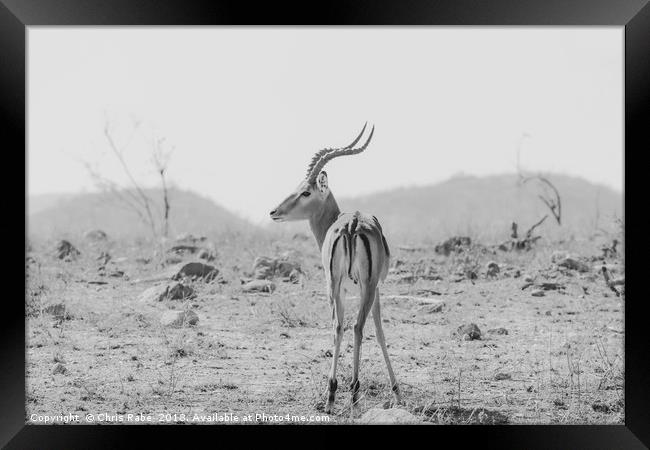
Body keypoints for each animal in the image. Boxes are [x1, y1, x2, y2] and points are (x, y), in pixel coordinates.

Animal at [268, 125, 400, 414]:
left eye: (305, 192)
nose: (273, 211)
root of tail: (351, 224)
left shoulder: (348, 287)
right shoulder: (372, 287)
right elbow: (379, 331)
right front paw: (397, 391)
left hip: (336, 285)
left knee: (339, 327)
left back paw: (332, 395)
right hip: (363, 287)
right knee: (357, 327)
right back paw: (352, 394)